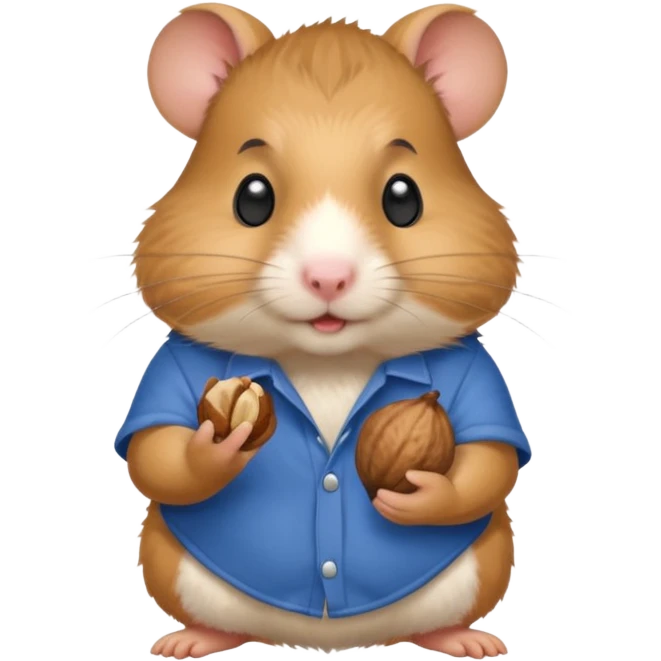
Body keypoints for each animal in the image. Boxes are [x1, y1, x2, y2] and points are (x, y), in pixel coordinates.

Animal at [121, 2, 530, 659]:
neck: (328, 361)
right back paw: (193, 639)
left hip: (487, 560)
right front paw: (217, 447)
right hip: (166, 558)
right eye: (252, 198)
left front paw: (420, 494)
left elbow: (489, 465)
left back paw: (464, 638)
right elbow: (157, 457)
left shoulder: (479, 376)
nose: (328, 276)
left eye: (404, 199)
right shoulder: (169, 371)